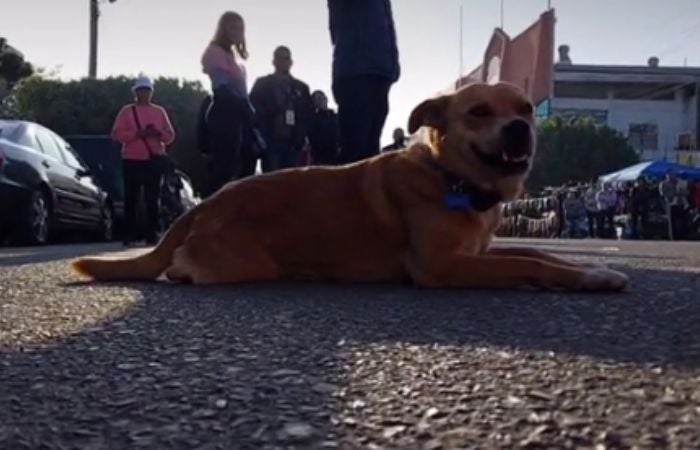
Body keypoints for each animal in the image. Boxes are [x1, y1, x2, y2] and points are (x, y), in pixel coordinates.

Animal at [71, 81, 628, 292]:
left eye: (526, 109)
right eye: (478, 112)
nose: (520, 129)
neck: (451, 177)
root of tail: (207, 201)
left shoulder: (477, 249)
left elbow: (539, 253)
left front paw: (593, 269)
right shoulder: (440, 266)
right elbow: (528, 263)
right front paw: (587, 277)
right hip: (242, 262)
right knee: (183, 267)